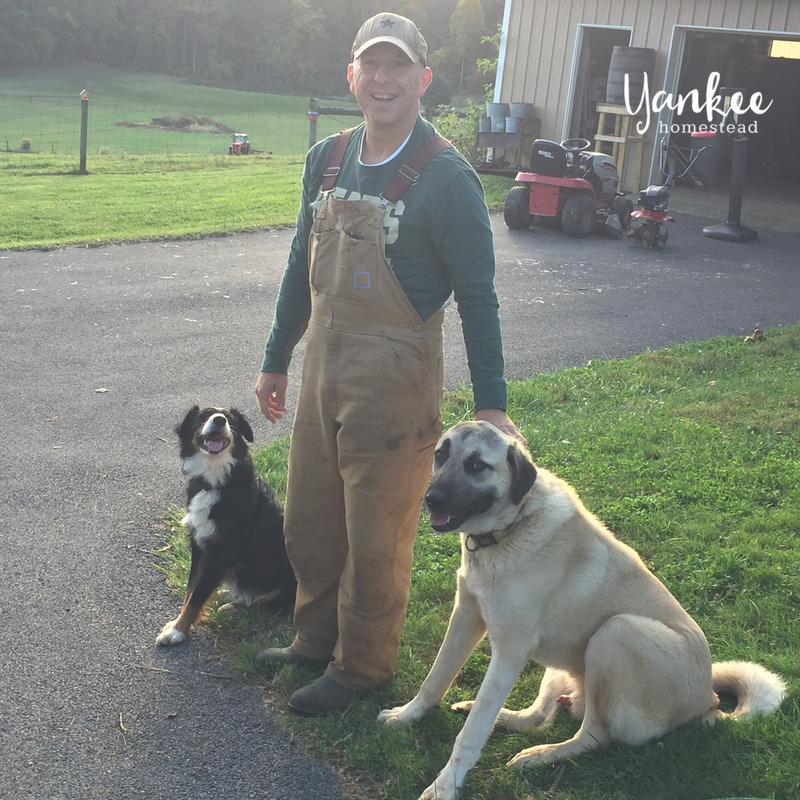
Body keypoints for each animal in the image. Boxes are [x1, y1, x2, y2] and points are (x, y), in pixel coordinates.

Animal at [155, 404, 296, 648]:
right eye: (204, 416)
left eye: (231, 420)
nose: (219, 420)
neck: (215, 479)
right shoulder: (199, 544)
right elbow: (190, 589)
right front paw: (177, 622)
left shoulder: (220, 554)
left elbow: (197, 595)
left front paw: (177, 631)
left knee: (273, 604)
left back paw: (233, 607)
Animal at [378, 422, 784, 796]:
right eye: (441, 455)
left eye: (477, 465)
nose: (431, 499)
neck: (512, 525)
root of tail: (708, 702)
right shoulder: (465, 618)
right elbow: (436, 679)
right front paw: (407, 716)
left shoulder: (508, 654)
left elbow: (471, 734)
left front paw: (446, 785)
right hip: (564, 666)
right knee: (538, 715)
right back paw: (495, 716)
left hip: (615, 633)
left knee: (593, 736)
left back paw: (541, 754)